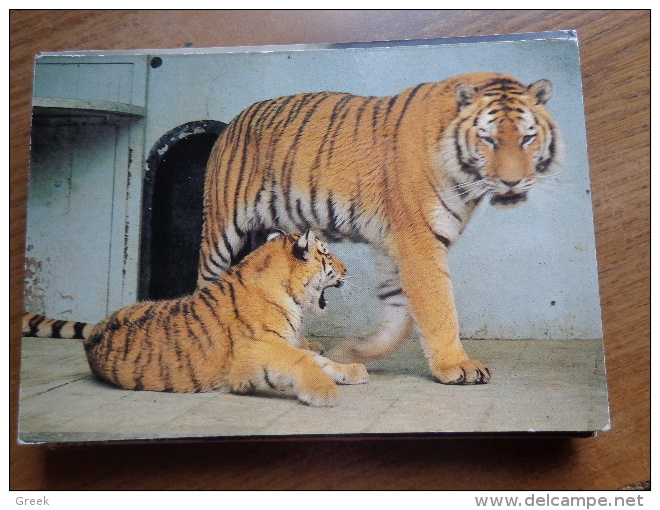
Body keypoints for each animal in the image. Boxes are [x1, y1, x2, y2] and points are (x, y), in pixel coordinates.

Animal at [197, 70, 564, 382]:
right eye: (488, 139)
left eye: (527, 138)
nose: (512, 182)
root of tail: (234, 120)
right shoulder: (419, 240)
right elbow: (438, 306)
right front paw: (456, 366)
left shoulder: (393, 245)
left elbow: (398, 316)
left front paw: (353, 351)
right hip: (221, 230)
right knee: (207, 280)